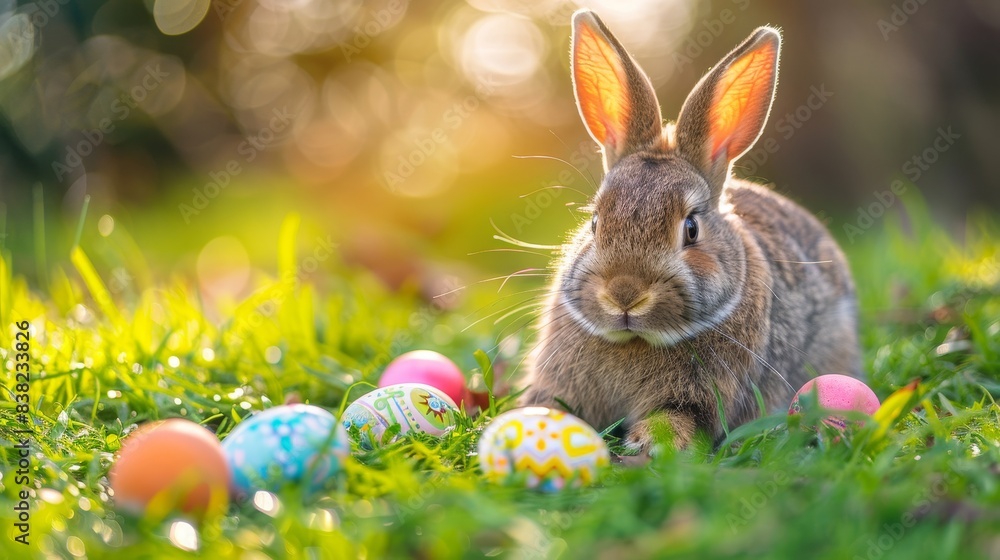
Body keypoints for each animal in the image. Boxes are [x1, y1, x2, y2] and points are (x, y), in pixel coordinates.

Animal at [519, 10, 861, 454]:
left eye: (692, 228)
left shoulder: (700, 397)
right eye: (595, 221)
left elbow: (678, 418)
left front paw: (649, 445)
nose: (624, 293)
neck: (637, 340)